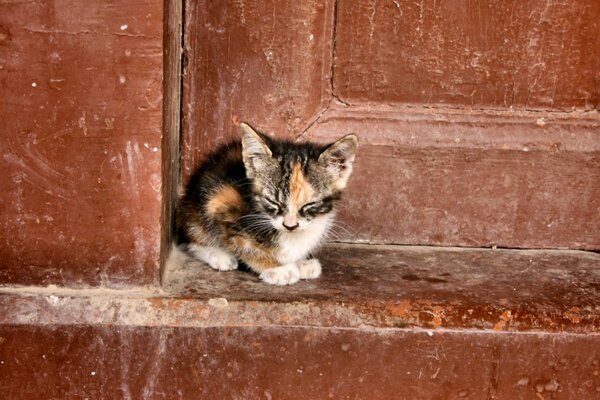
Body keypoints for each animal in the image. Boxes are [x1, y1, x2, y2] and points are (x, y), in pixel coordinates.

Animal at [171, 122, 356, 284]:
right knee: (193, 235)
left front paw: (300, 262)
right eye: (273, 201)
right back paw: (218, 254)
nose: (290, 226)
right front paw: (277, 268)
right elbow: (244, 245)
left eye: (309, 205)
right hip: (197, 204)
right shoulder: (220, 202)